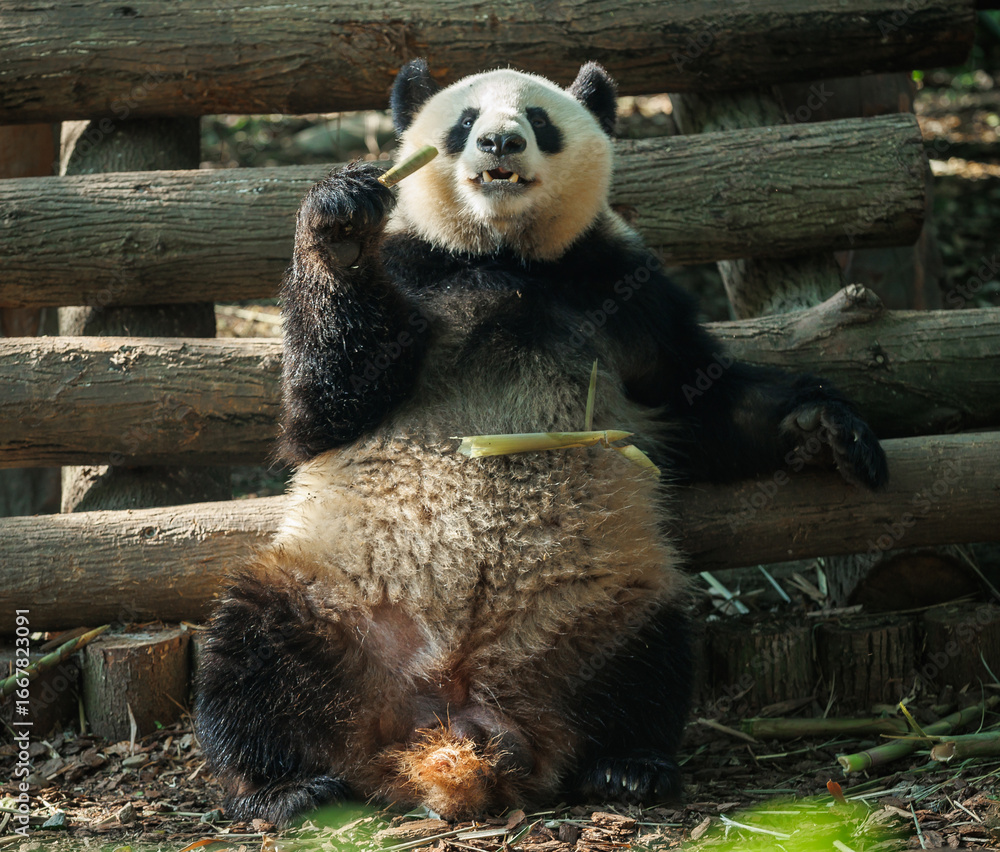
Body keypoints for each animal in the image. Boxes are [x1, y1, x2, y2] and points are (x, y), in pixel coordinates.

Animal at [195, 59, 888, 826]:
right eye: (465, 121)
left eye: (539, 119)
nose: (500, 141)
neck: (508, 258)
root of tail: (449, 725)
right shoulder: (414, 271)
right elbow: (318, 411)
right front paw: (343, 227)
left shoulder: (624, 290)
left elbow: (699, 401)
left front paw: (826, 428)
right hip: (333, 598)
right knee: (249, 650)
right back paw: (281, 786)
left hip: (604, 610)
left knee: (650, 659)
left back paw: (627, 767)